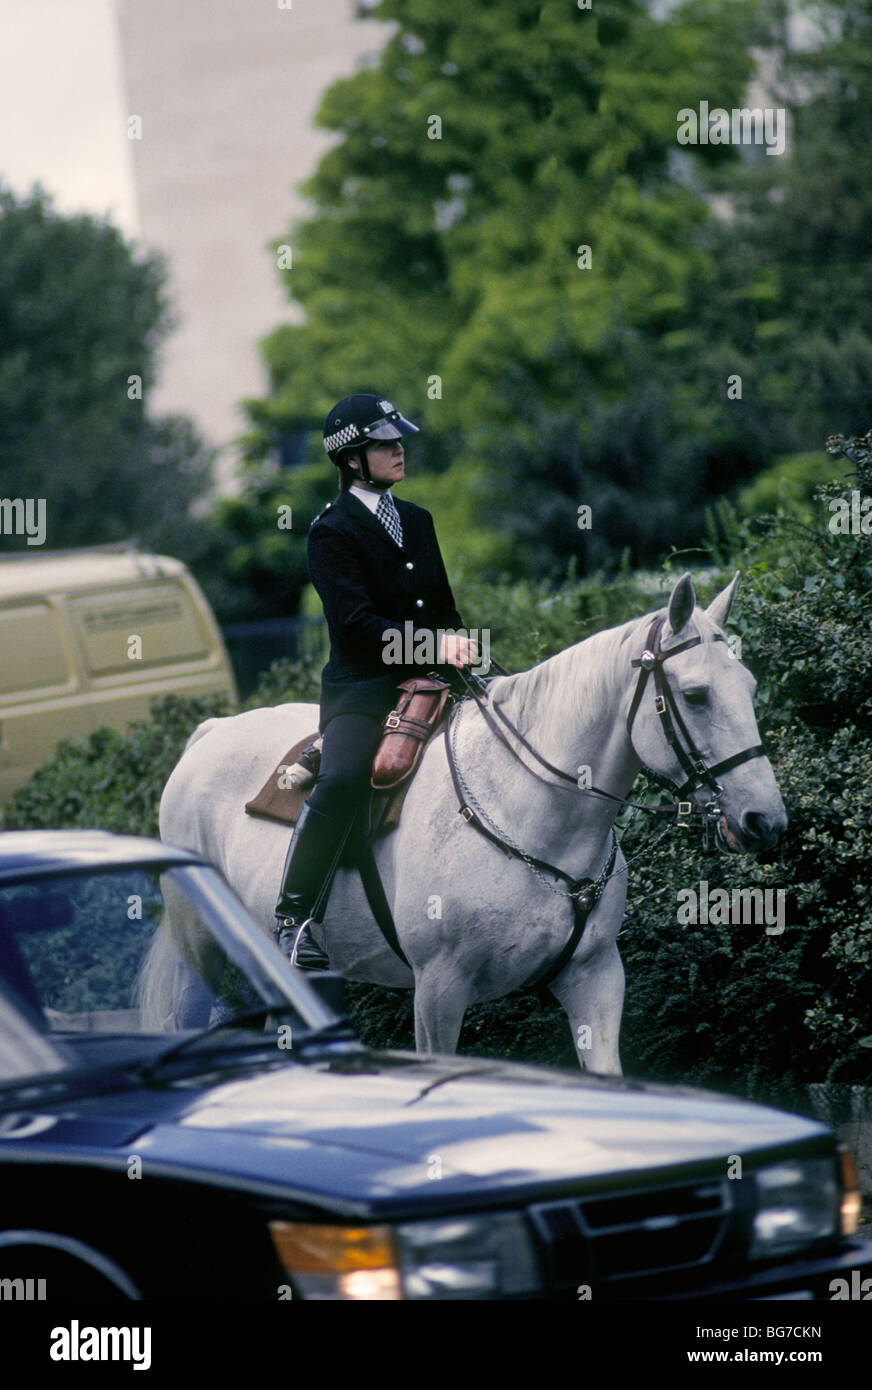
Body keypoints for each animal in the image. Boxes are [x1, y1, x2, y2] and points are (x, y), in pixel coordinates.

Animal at [141, 569, 784, 1067]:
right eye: (696, 695)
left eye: (752, 686)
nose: (765, 821)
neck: (528, 810)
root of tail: (208, 734)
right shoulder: (439, 991)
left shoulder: (595, 977)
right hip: (203, 955)